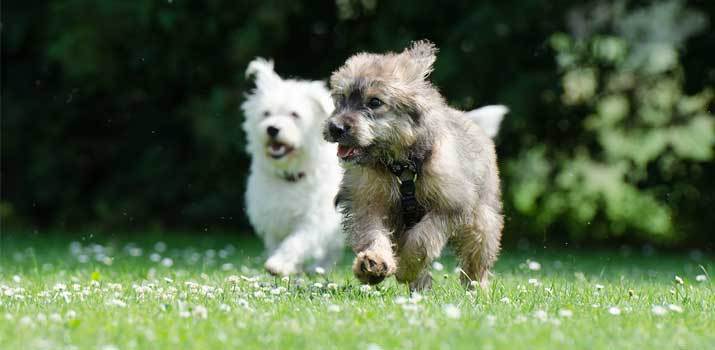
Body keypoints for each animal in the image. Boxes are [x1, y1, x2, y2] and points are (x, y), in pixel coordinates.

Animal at [241, 58, 344, 276]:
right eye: (266, 113)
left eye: (294, 115)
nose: (272, 129)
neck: (290, 174)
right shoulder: (273, 218)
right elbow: (276, 243)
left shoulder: (314, 219)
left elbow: (296, 242)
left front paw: (279, 264)